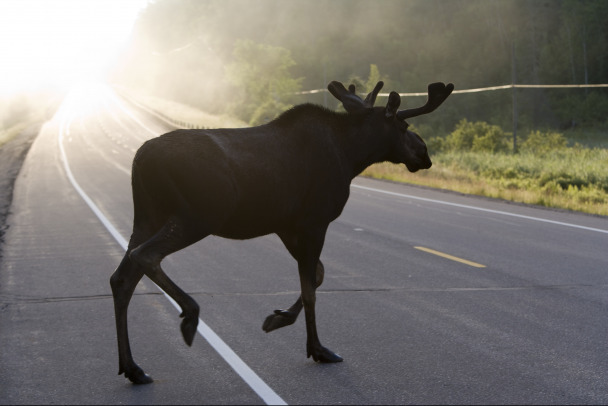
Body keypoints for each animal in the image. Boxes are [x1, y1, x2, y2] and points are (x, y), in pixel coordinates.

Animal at [109, 79, 454, 384]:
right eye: (403, 127)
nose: (424, 153)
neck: (352, 156)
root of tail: (140, 159)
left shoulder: (287, 226)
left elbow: (318, 274)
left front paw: (278, 318)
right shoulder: (314, 220)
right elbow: (310, 287)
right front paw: (317, 349)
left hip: (148, 217)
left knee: (121, 278)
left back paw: (133, 368)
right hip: (198, 216)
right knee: (145, 256)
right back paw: (190, 316)